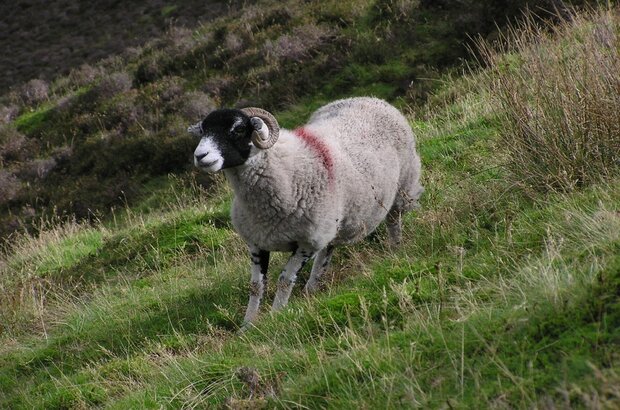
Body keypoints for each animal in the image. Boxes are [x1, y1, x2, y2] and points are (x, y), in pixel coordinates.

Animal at [188, 96, 422, 324]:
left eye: (237, 129)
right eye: (204, 130)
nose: (200, 156)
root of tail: (372, 99)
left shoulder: (307, 242)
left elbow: (284, 280)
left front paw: (276, 316)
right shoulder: (256, 242)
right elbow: (255, 286)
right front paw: (248, 326)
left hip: (402, 189)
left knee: (393, 221)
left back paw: (395, 250)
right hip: (333, 221)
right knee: (328, 250)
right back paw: (312, 288)